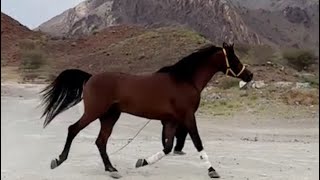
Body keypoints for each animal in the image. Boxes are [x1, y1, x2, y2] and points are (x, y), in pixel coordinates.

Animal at [39, 42, 252, 179]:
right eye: (234, 59)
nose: (249, 75)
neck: (184, 80)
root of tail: (90, 77)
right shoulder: (188, 117)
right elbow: (197, 142)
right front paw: (212, 170)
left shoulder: (171, 121)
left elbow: (167, 147)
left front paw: (141, 161)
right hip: (94, 113)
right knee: (73, 129)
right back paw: (59, 160)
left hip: (110, 117)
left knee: (101, 141)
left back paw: (111, 169)